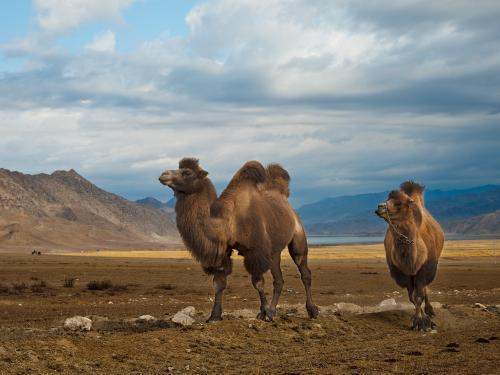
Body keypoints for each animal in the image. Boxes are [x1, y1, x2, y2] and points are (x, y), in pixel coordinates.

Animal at [158, 159, 318, 324]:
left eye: (187, 172)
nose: (163, 174)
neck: (229, 223)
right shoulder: (223, 252)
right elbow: (219, 283)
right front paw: (214, 316)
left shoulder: (255, 252)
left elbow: (258, 283)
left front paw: (263, 312)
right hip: (274, 251)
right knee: (279, 279)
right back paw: (273, 311)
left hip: (298, 237)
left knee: (304, 271)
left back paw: (311, 310)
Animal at [376, 182, 444, 332]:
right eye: (387, 199)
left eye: (399, 203)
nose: (379, 207)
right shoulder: (403, 273)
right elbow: (412, 297)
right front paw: (419, 320)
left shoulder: (425, 268)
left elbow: (419, 295)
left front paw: (423, 323)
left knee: (424, 289)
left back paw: (430, 311)